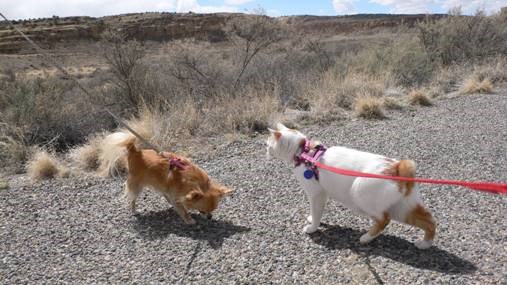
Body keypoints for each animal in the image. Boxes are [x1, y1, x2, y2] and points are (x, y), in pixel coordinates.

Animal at [268, 122, 438, 248]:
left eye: (268, 144)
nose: (266, 150)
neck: (304, 150)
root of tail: (397, 167)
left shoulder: (317, 195)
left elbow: (316, 213)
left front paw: (312, 228)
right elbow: (317, 213)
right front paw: (312, 221)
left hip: (360, 194)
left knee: (384, 220)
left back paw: (366, 238)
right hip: (403, 208)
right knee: (429, 221)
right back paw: (424, 244)